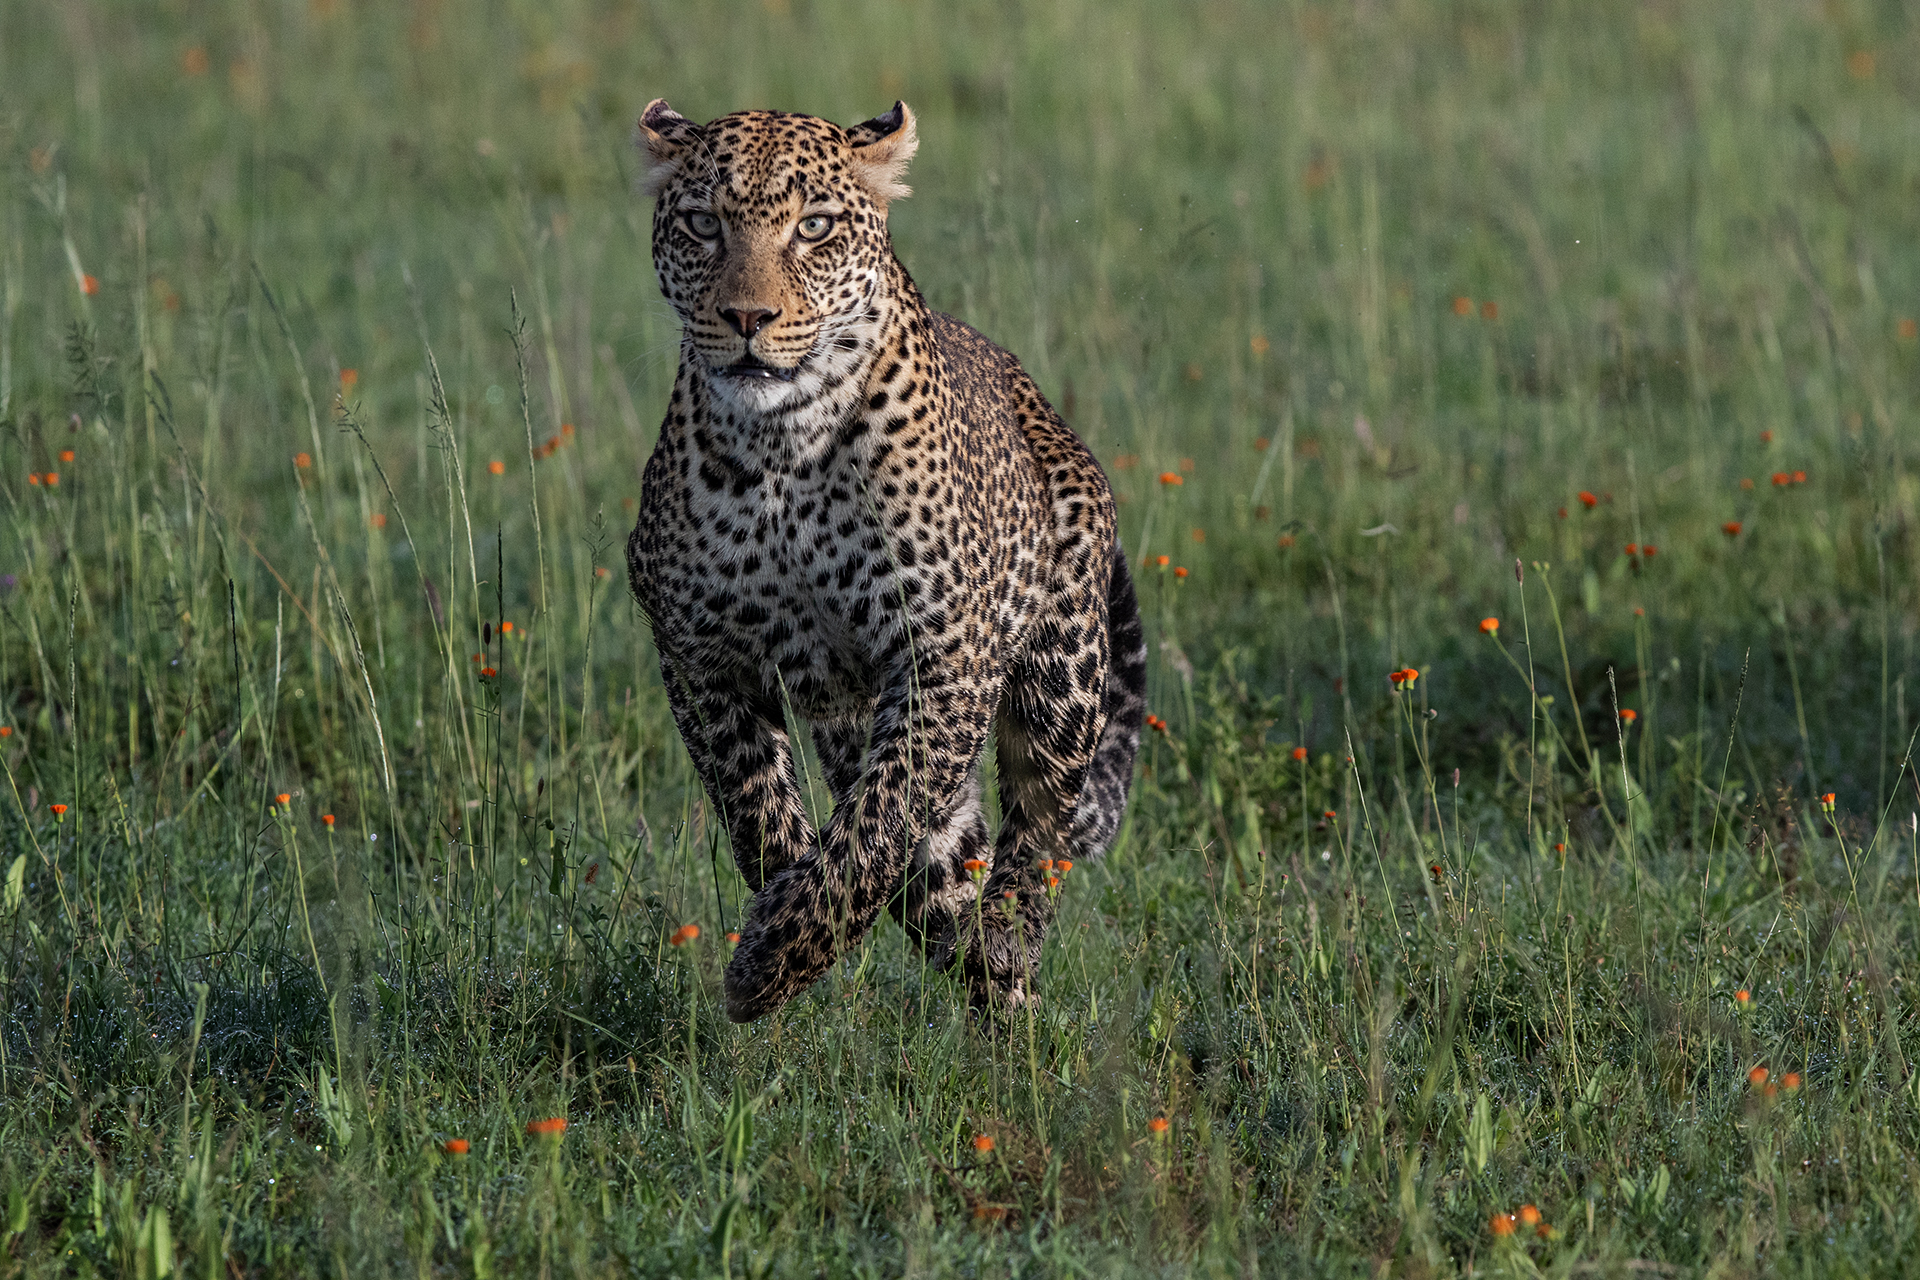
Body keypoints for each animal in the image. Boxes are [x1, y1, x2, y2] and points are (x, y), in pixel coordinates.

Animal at [625, 98, 1146, 1024]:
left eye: (814, 228)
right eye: (701, 225)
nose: (748, 319)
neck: (780, 449)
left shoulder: (941, 659)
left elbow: (875, 827)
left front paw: (768, 964)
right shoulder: (694, 656)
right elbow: (757, 808)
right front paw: (780, 922)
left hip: (1062, 675)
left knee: (1036, 831)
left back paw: (1007, 941)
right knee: (947, 867)